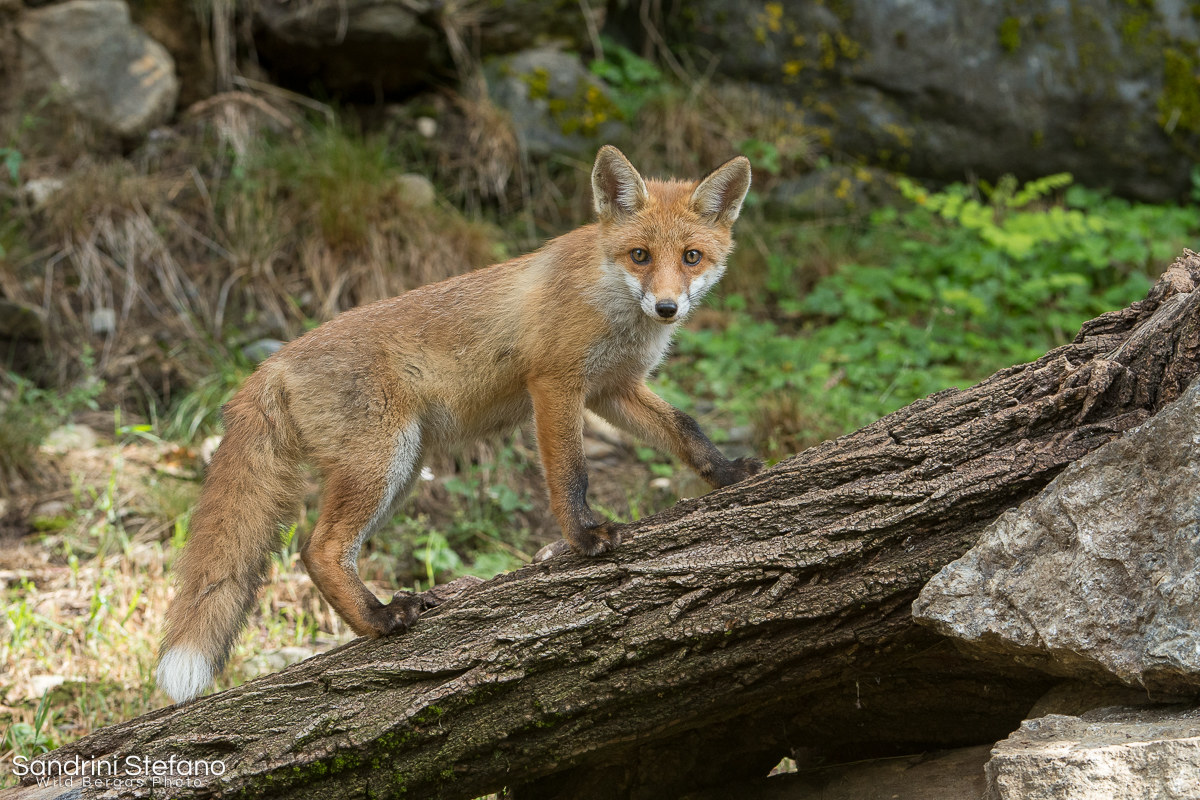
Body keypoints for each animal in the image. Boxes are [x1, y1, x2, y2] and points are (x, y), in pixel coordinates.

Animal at [156, 145, 761, 703]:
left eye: (691, 256)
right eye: (640, 255)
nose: (666, 308)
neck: (610, 302)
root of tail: (272, 364)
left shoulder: (613, 390)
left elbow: (685, 428)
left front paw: (729, 473)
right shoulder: (555, 385)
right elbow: (571, 473)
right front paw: (585, 536)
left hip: (401, 471)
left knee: (323, 551)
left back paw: (381, 615)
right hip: (383, 462)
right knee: (318, 550)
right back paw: (381, 619)